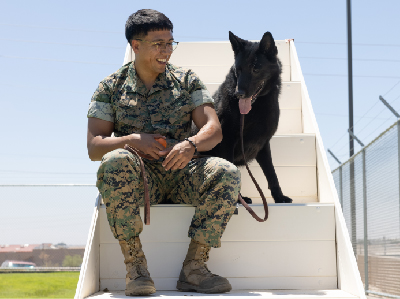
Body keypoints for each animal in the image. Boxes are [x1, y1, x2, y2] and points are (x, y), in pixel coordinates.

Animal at [203, 31, 290, 205]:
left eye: (255, 69)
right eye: (239, 69)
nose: (239, 94)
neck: (255, 108)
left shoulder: (263, 144)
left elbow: (271, 173)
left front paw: (279, 197)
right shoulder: (227, 141)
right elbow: (232, 171)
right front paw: (239, 199)